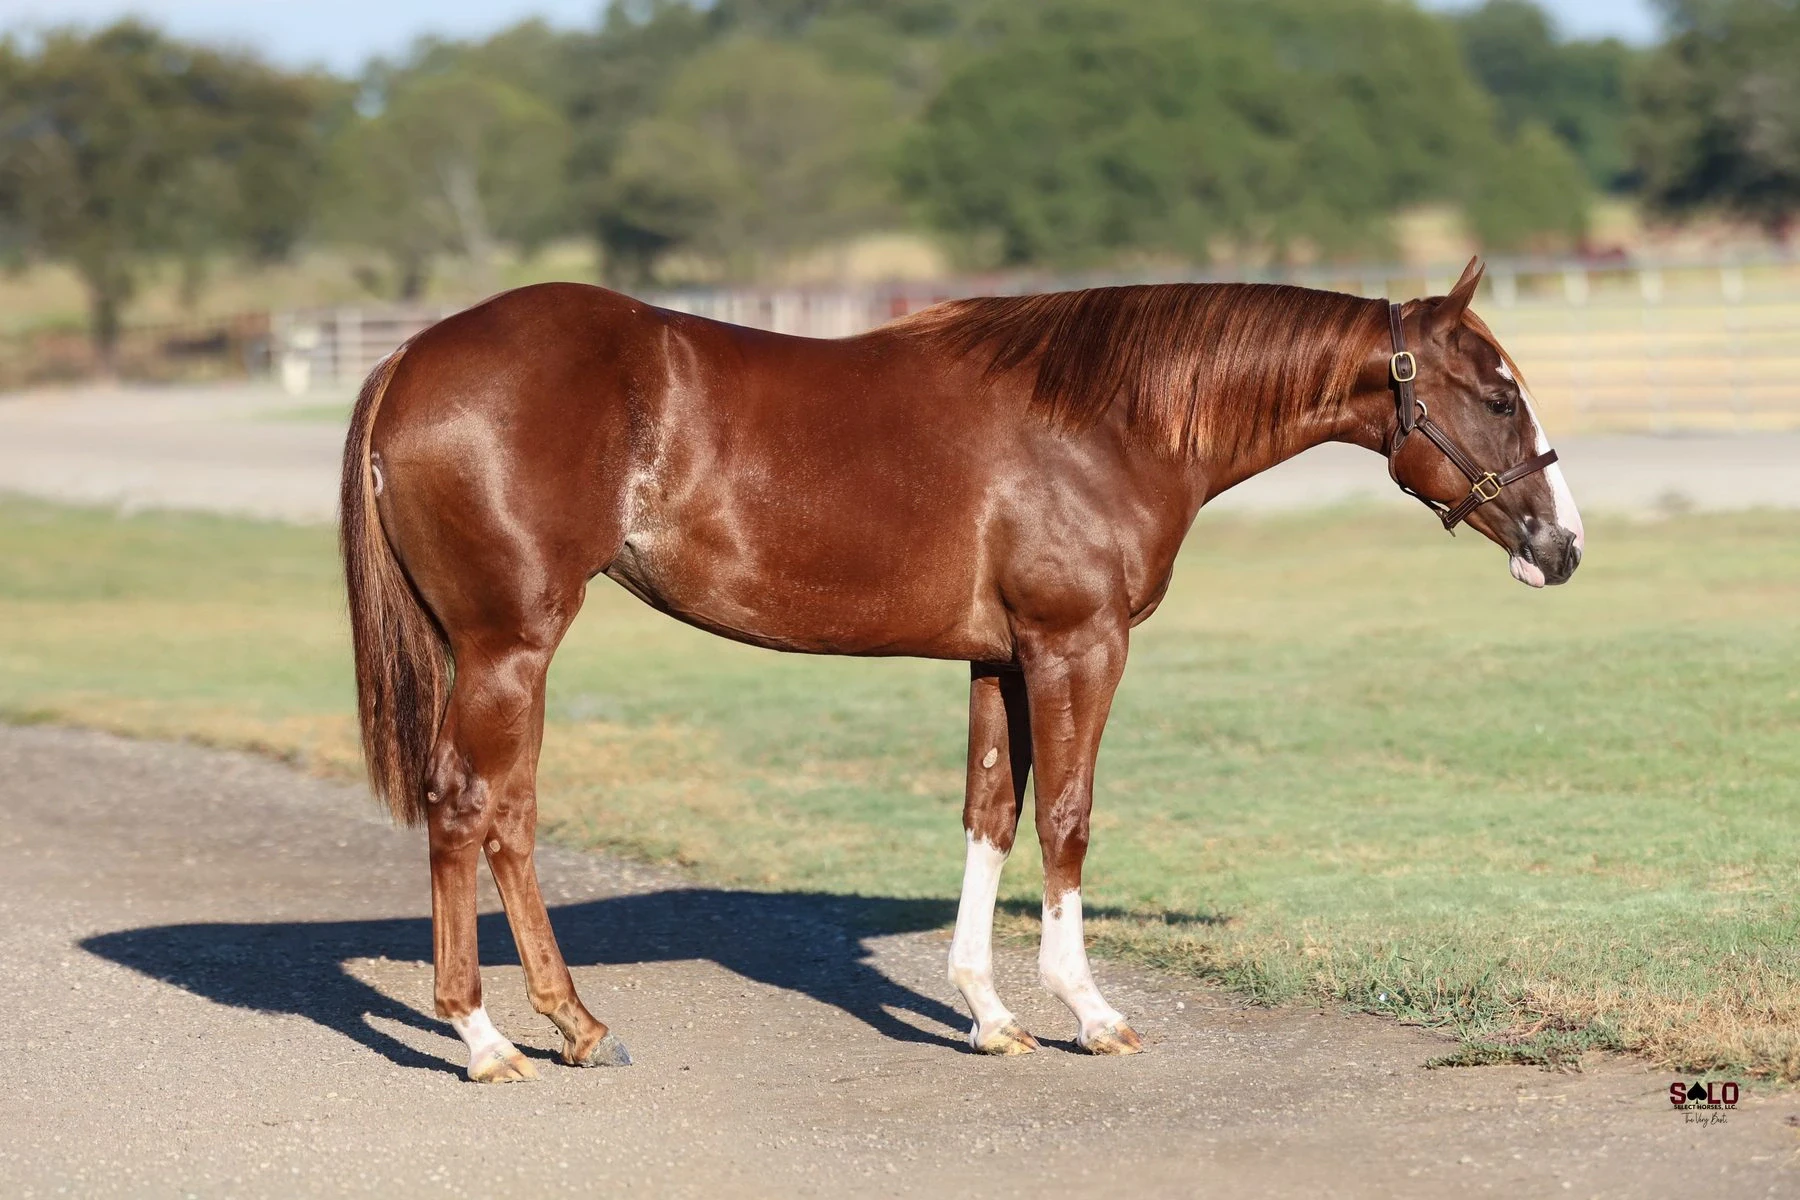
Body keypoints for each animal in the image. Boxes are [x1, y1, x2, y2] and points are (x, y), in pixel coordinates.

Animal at [340, 256, 1583, 1081]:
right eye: (1497, 394)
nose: (1563, 545)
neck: (1105, 419)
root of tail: (410, 357)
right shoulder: (1078, 644)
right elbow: (1068, 818)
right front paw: (1089, 1011)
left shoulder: (1000, 660)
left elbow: (992, 814)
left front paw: (990, 1014)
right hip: (509, 648)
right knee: (470, 806)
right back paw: (484, 1037)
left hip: (494, 655)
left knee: (504, 816)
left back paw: (574, 1025)